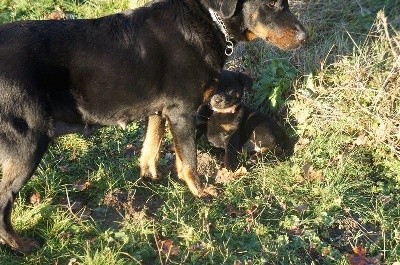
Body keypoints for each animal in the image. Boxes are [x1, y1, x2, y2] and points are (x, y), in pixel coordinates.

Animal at [0, 0, 308, 251]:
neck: (208, 19)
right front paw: (201, 192)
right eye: (272, 4)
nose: (306, 37)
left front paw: (149, 178)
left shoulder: (159, 111)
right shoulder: (182, 111)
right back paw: (20, 245)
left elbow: (151, 148)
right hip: (27, 143)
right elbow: (189, 161)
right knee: (4, 200)